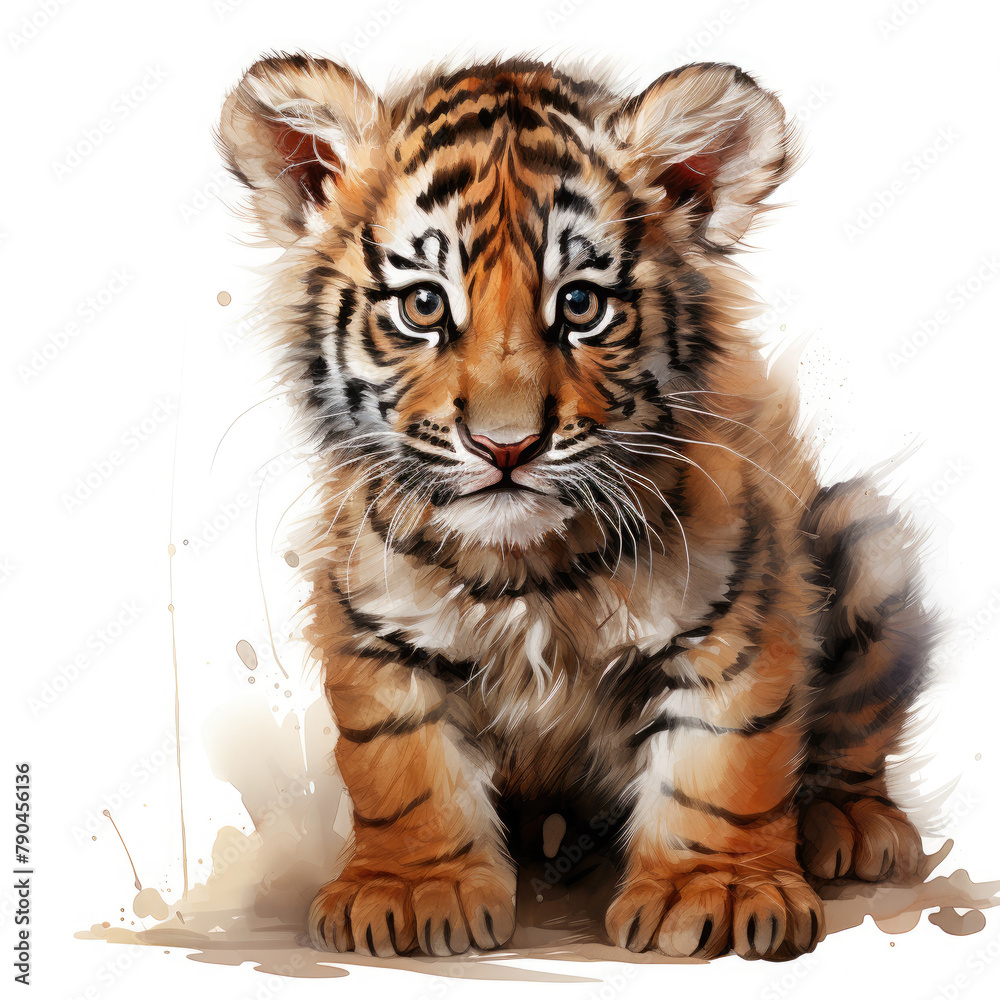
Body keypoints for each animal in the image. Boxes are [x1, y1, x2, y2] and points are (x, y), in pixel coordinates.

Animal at [217, 53, 937, 962]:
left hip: (870, 539)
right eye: (424, 306)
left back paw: (851, 827)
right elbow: (403, 767)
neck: (526, 569)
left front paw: (718, 892)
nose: (506, 446)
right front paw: (413, 892)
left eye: (581, 305)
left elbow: (724, 759)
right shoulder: (372, 619)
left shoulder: (739, 609)